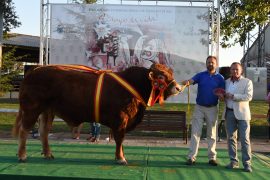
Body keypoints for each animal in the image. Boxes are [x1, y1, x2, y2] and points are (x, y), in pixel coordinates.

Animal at [12, 63, 181, 165]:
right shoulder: (120, 119)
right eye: (161, 76)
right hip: (31, 109)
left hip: (48, 110)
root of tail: (35, 69)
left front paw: (120, 156)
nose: (178, 87)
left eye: (170, 73)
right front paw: (121, 158)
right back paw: (22, 155)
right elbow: (120, 140)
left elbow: (120, 141)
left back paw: (48, 154)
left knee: (44, 132)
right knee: (24, 131)